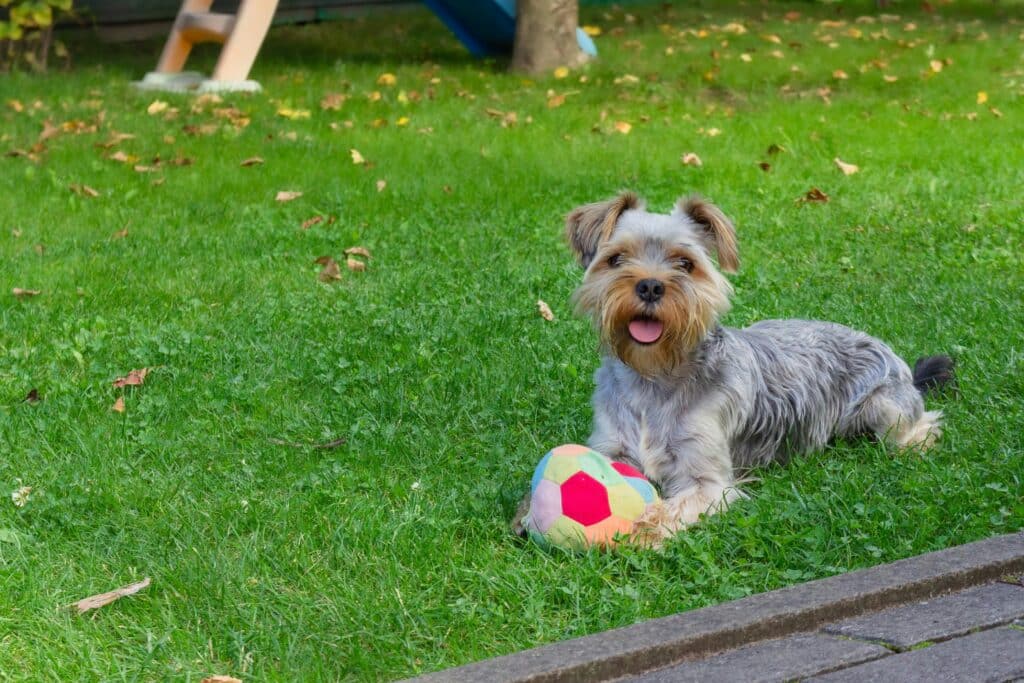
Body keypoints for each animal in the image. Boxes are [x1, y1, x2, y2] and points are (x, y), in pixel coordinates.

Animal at [516, 194, 954, 548]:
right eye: (616, 259)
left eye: (685, 264)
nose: (651, 286)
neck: (655, 376)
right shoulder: (611, 448)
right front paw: (528, 510)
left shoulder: (707, 480)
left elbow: (675, 504)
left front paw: (642, 528)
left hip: (884, 408)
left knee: (922, 424)